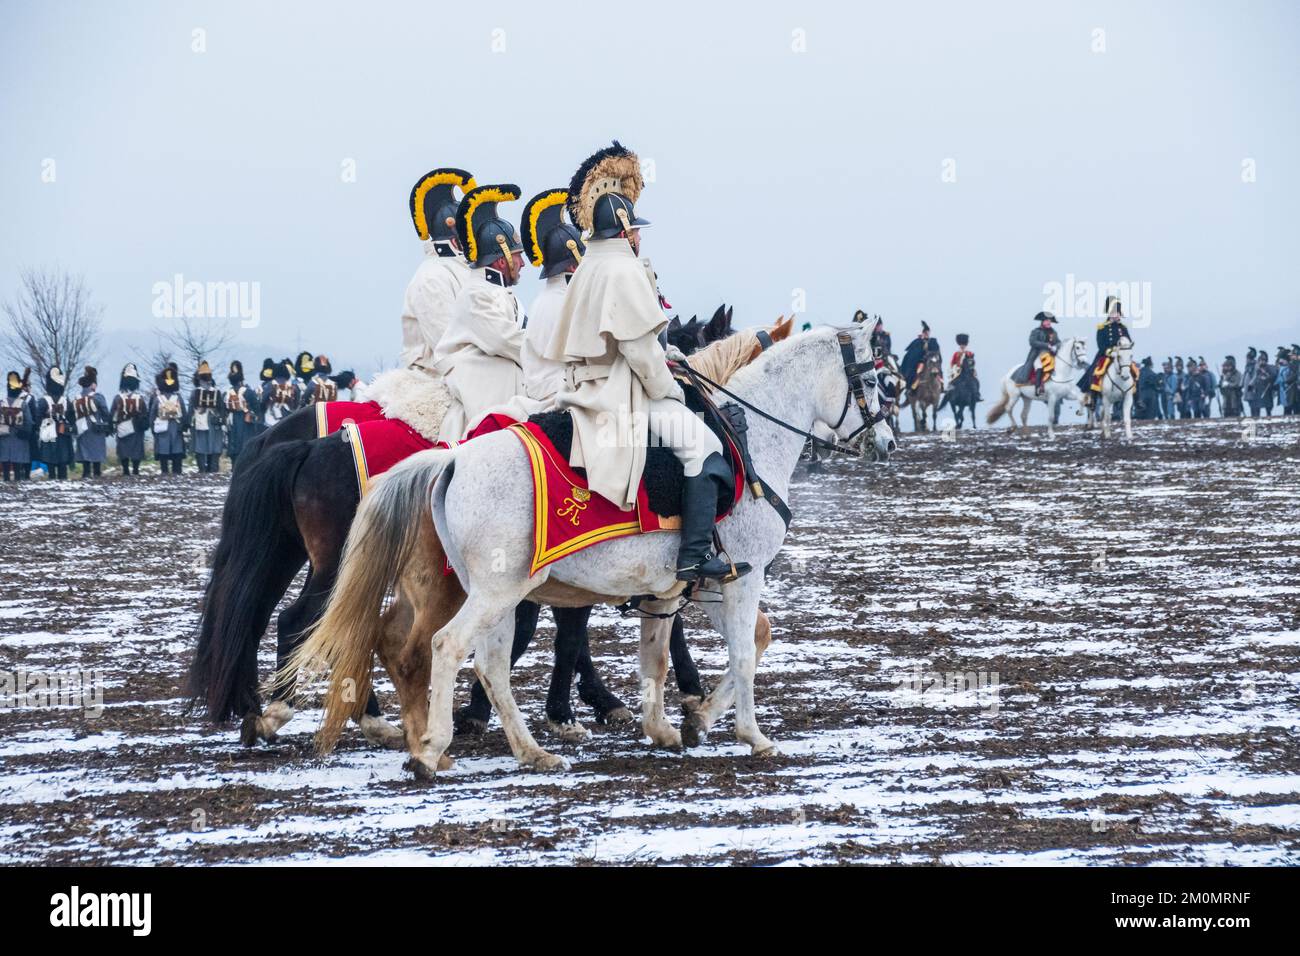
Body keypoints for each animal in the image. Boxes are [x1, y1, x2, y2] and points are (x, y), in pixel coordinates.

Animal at [287, 327, 894, 780]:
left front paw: (680, 725)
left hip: (496, 595)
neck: (747, 440)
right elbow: (745, 653)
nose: (886, 442)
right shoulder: (740, 578)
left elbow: (664, 655)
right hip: (491, 594)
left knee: (483, 663)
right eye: (875, 378)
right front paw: (752, 735)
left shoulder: (691, 587)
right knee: (444, 647)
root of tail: (453, 457)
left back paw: (530, 751)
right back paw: (431, 748)